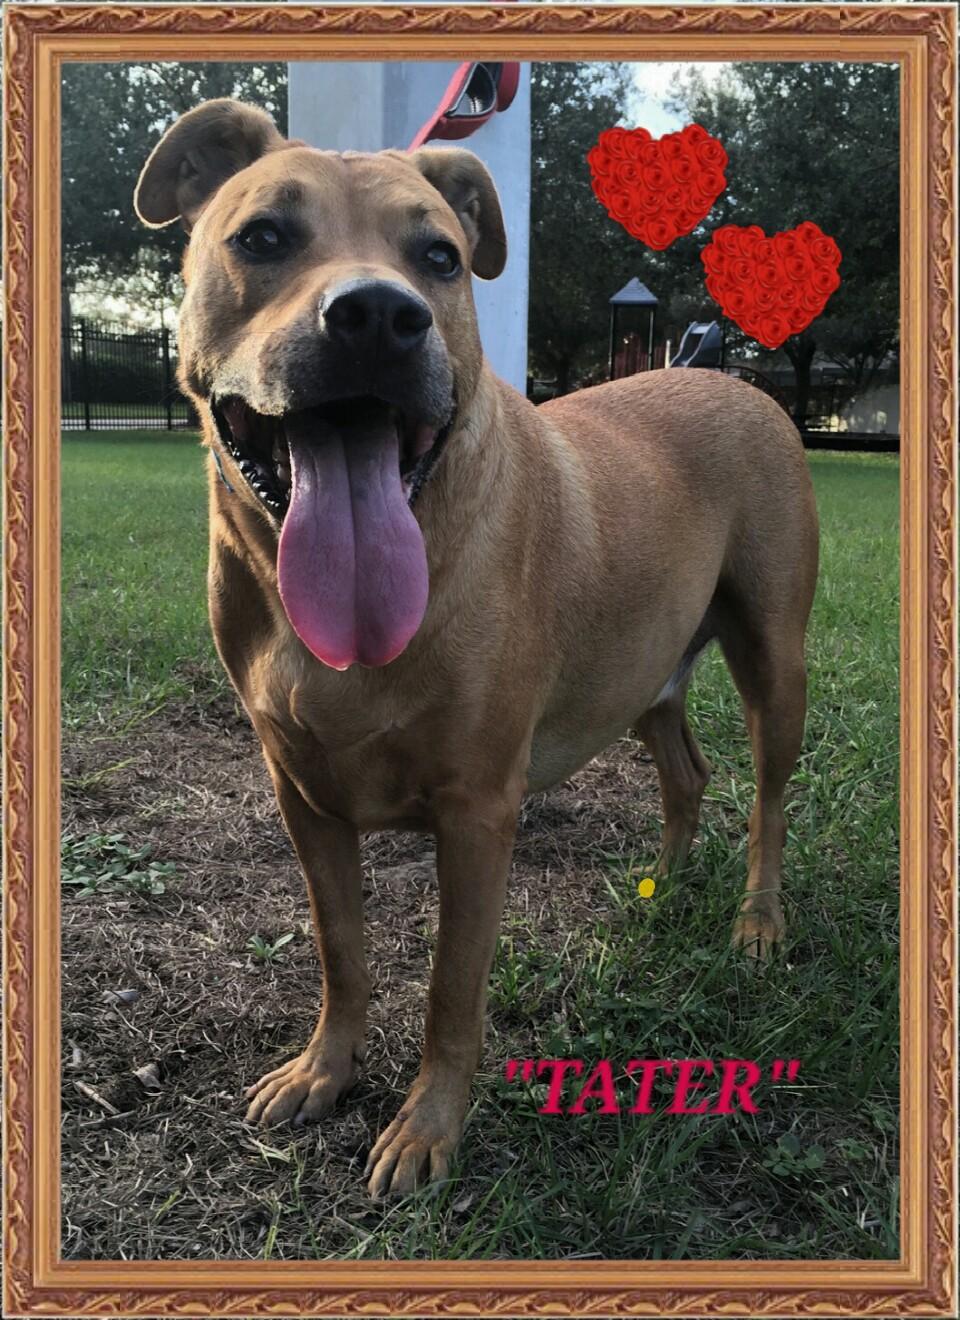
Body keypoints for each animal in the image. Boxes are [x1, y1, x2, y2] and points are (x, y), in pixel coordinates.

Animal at [135, 100, 823, 1198]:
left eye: (439, 258)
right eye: (263, 238)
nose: (380, 314)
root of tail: (725, 378)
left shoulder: (477, 814)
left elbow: (451, 988)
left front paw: (429, 1126)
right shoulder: (304, 800)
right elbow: (342, 950)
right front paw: (324, 1070)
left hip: (774, 658)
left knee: (766, 801)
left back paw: (756, 923)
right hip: (640, 669)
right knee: (685, 769)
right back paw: (666, 884)